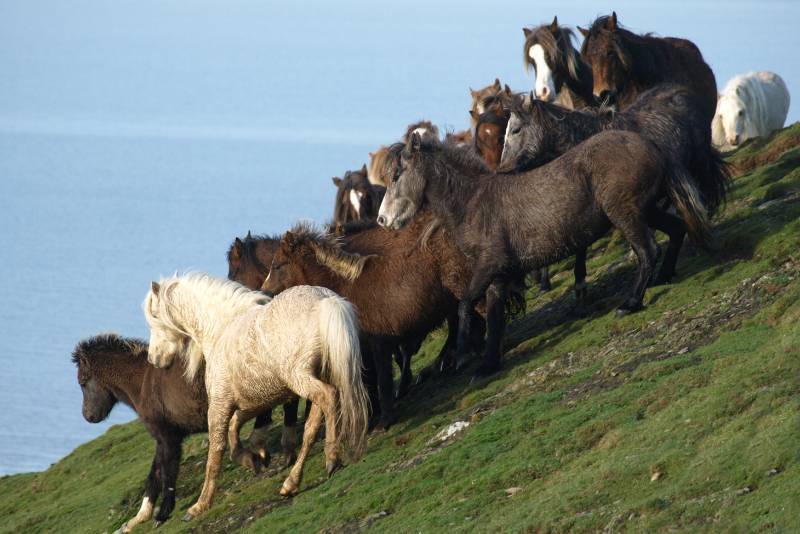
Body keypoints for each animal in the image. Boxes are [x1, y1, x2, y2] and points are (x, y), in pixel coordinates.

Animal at [73, 334, 254, 531]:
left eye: (82, 382)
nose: (88, 416)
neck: (142, 382)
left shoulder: (168, 438)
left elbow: (168, 473)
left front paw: (162, 515)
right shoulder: (162, 439)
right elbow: (154, 475)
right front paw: (136, 520)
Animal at [144, 274, 369, 519]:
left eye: (155, 316)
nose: (153, 358)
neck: (221, 330)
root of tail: (325, 300)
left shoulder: (220, 405)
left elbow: (216, 451)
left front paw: (199, 505)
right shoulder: (252, 402)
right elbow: (235, 432)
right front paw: (255, 458)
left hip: (300, 378)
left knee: (328, 397)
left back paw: (332, 460)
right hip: (317, 377)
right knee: (313, 425)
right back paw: (291, 483)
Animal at [260, 212, 488, 427]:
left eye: (277, 265)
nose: (264, 293)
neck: (343, 287)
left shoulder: (378, 344)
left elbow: (382, 380)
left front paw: (384, 421)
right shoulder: (366, 349)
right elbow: (371, 383)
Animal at [377, 132, 710, 376]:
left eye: (396, 174)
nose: (382, 220)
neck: (473, 203)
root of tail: (647, 143)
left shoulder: (490, 265)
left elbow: (464, 305)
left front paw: (461, 357)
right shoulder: (498, 276)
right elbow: (494, 316)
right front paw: (488, 365)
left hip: (625, 213)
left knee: (648, 251)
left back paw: (630, 303)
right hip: (647, 210)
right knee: (677, 230)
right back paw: (665, 276)